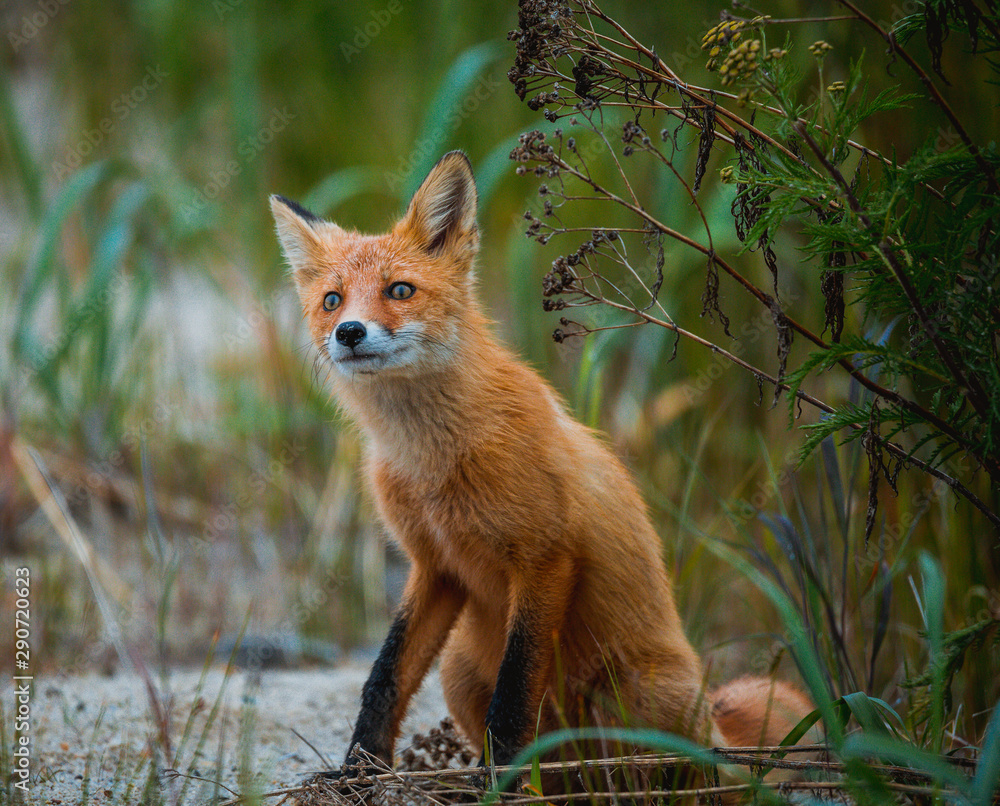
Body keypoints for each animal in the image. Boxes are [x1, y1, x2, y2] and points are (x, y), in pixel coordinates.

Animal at [270, 151, 814, 782]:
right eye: (332, 301)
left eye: (399, 290)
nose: (349, 332)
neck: (434, 459)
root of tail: (716, 724)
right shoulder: (435, 566)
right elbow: (385, 677)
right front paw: (359, 768)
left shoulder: (545, 557)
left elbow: (513, 692)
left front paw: (502, 781)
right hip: (459, 671)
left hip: (633, 693)